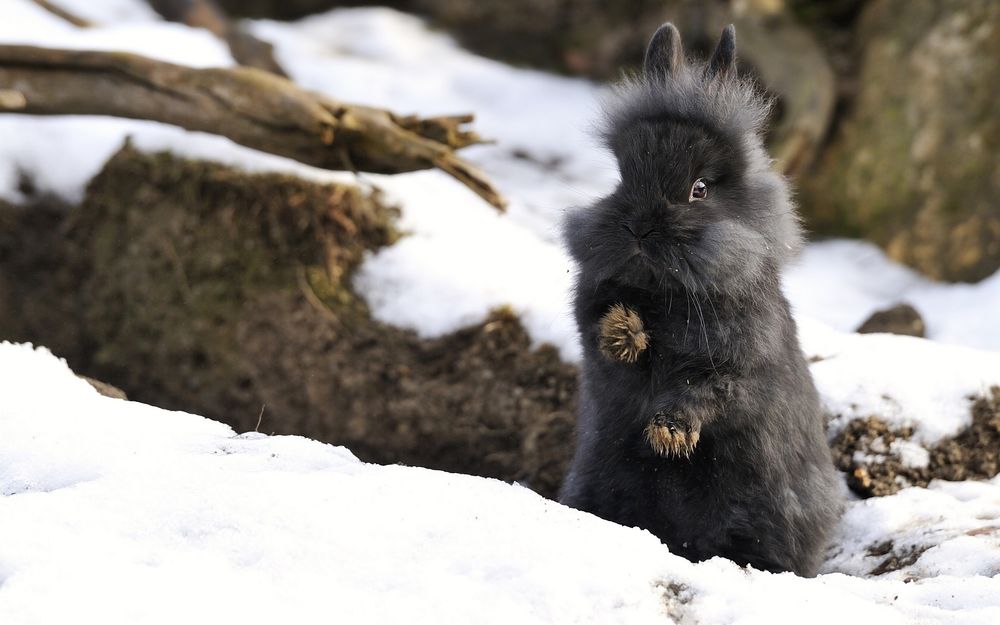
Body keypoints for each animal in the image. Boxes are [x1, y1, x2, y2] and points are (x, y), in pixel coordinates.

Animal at [560, 23, 840, 576]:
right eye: (623, 177)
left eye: (700, 189)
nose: (639, 228)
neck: (665, 294)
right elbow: (604, 333)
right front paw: (624, 331)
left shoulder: (734, 367)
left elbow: (703, 392)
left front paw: (669, 435)